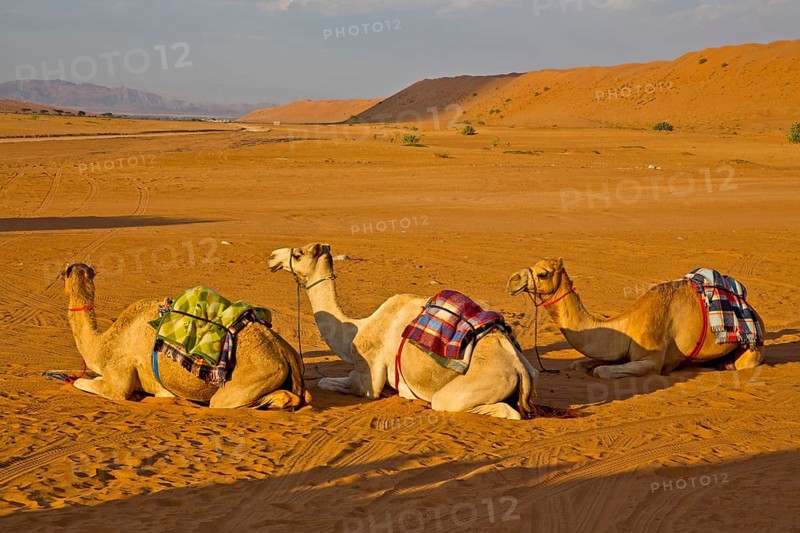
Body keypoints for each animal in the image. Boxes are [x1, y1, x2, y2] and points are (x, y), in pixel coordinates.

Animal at [267, 243, 546, 420]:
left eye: (299, 254)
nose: (272, 257)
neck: (357, 329)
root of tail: (521, 368)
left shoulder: (369, 376)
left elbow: (330, 382)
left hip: (475, 386)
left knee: (496, 410)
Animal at [506, 258, 765, 379]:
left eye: (543, 273)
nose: (512, 280)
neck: (627, 325)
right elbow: (578, 364)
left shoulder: (651, 359)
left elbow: (602, 371)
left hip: (753, 349)